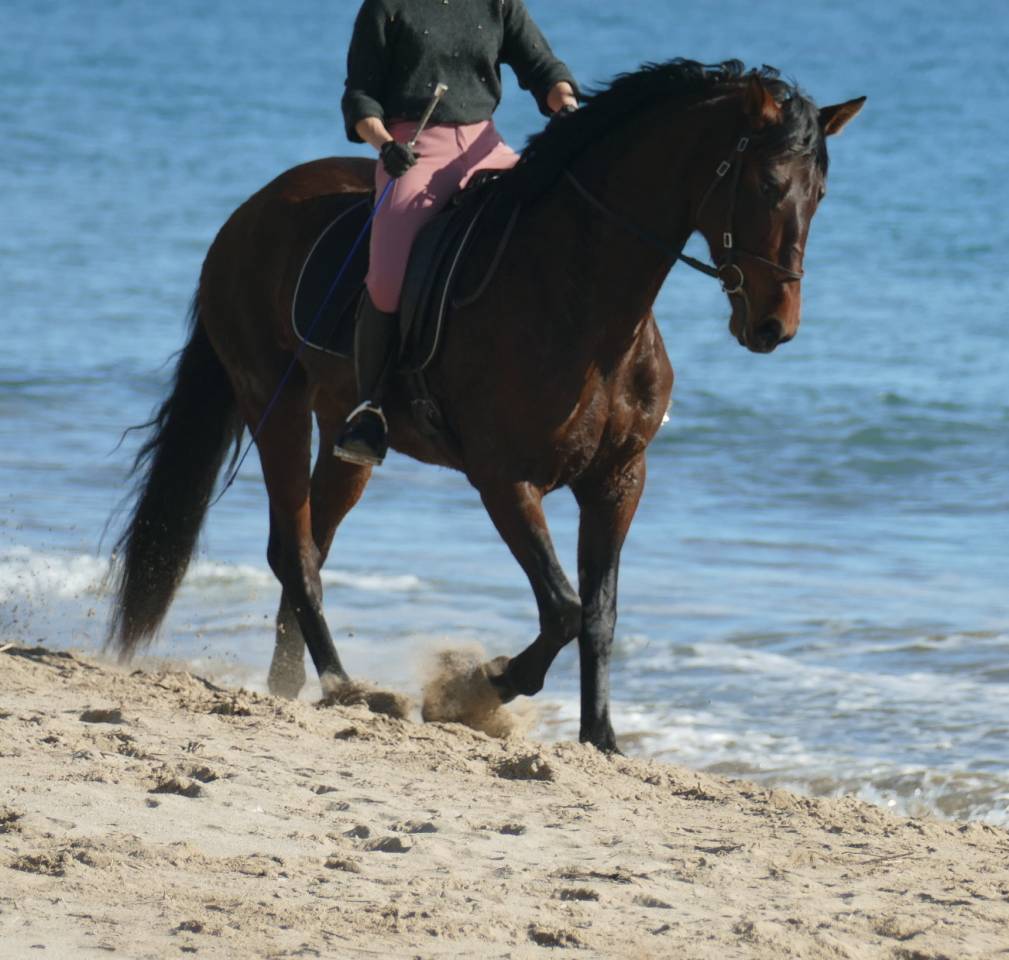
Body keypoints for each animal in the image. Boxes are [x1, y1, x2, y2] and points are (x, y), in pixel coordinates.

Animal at [108, 59, 863, 752]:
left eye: (821, 194)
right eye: (767, 185)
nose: (774, 326)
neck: (582, 298)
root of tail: (250, 212)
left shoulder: (618, 480)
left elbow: (599, 614)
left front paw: (600, 738)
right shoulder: (505, 479)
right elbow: (562, 608)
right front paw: (480, 686)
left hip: (343, 436)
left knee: (312, 547)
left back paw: (296, 687)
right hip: (278, 406)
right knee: (293, 554)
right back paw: (349, 686)